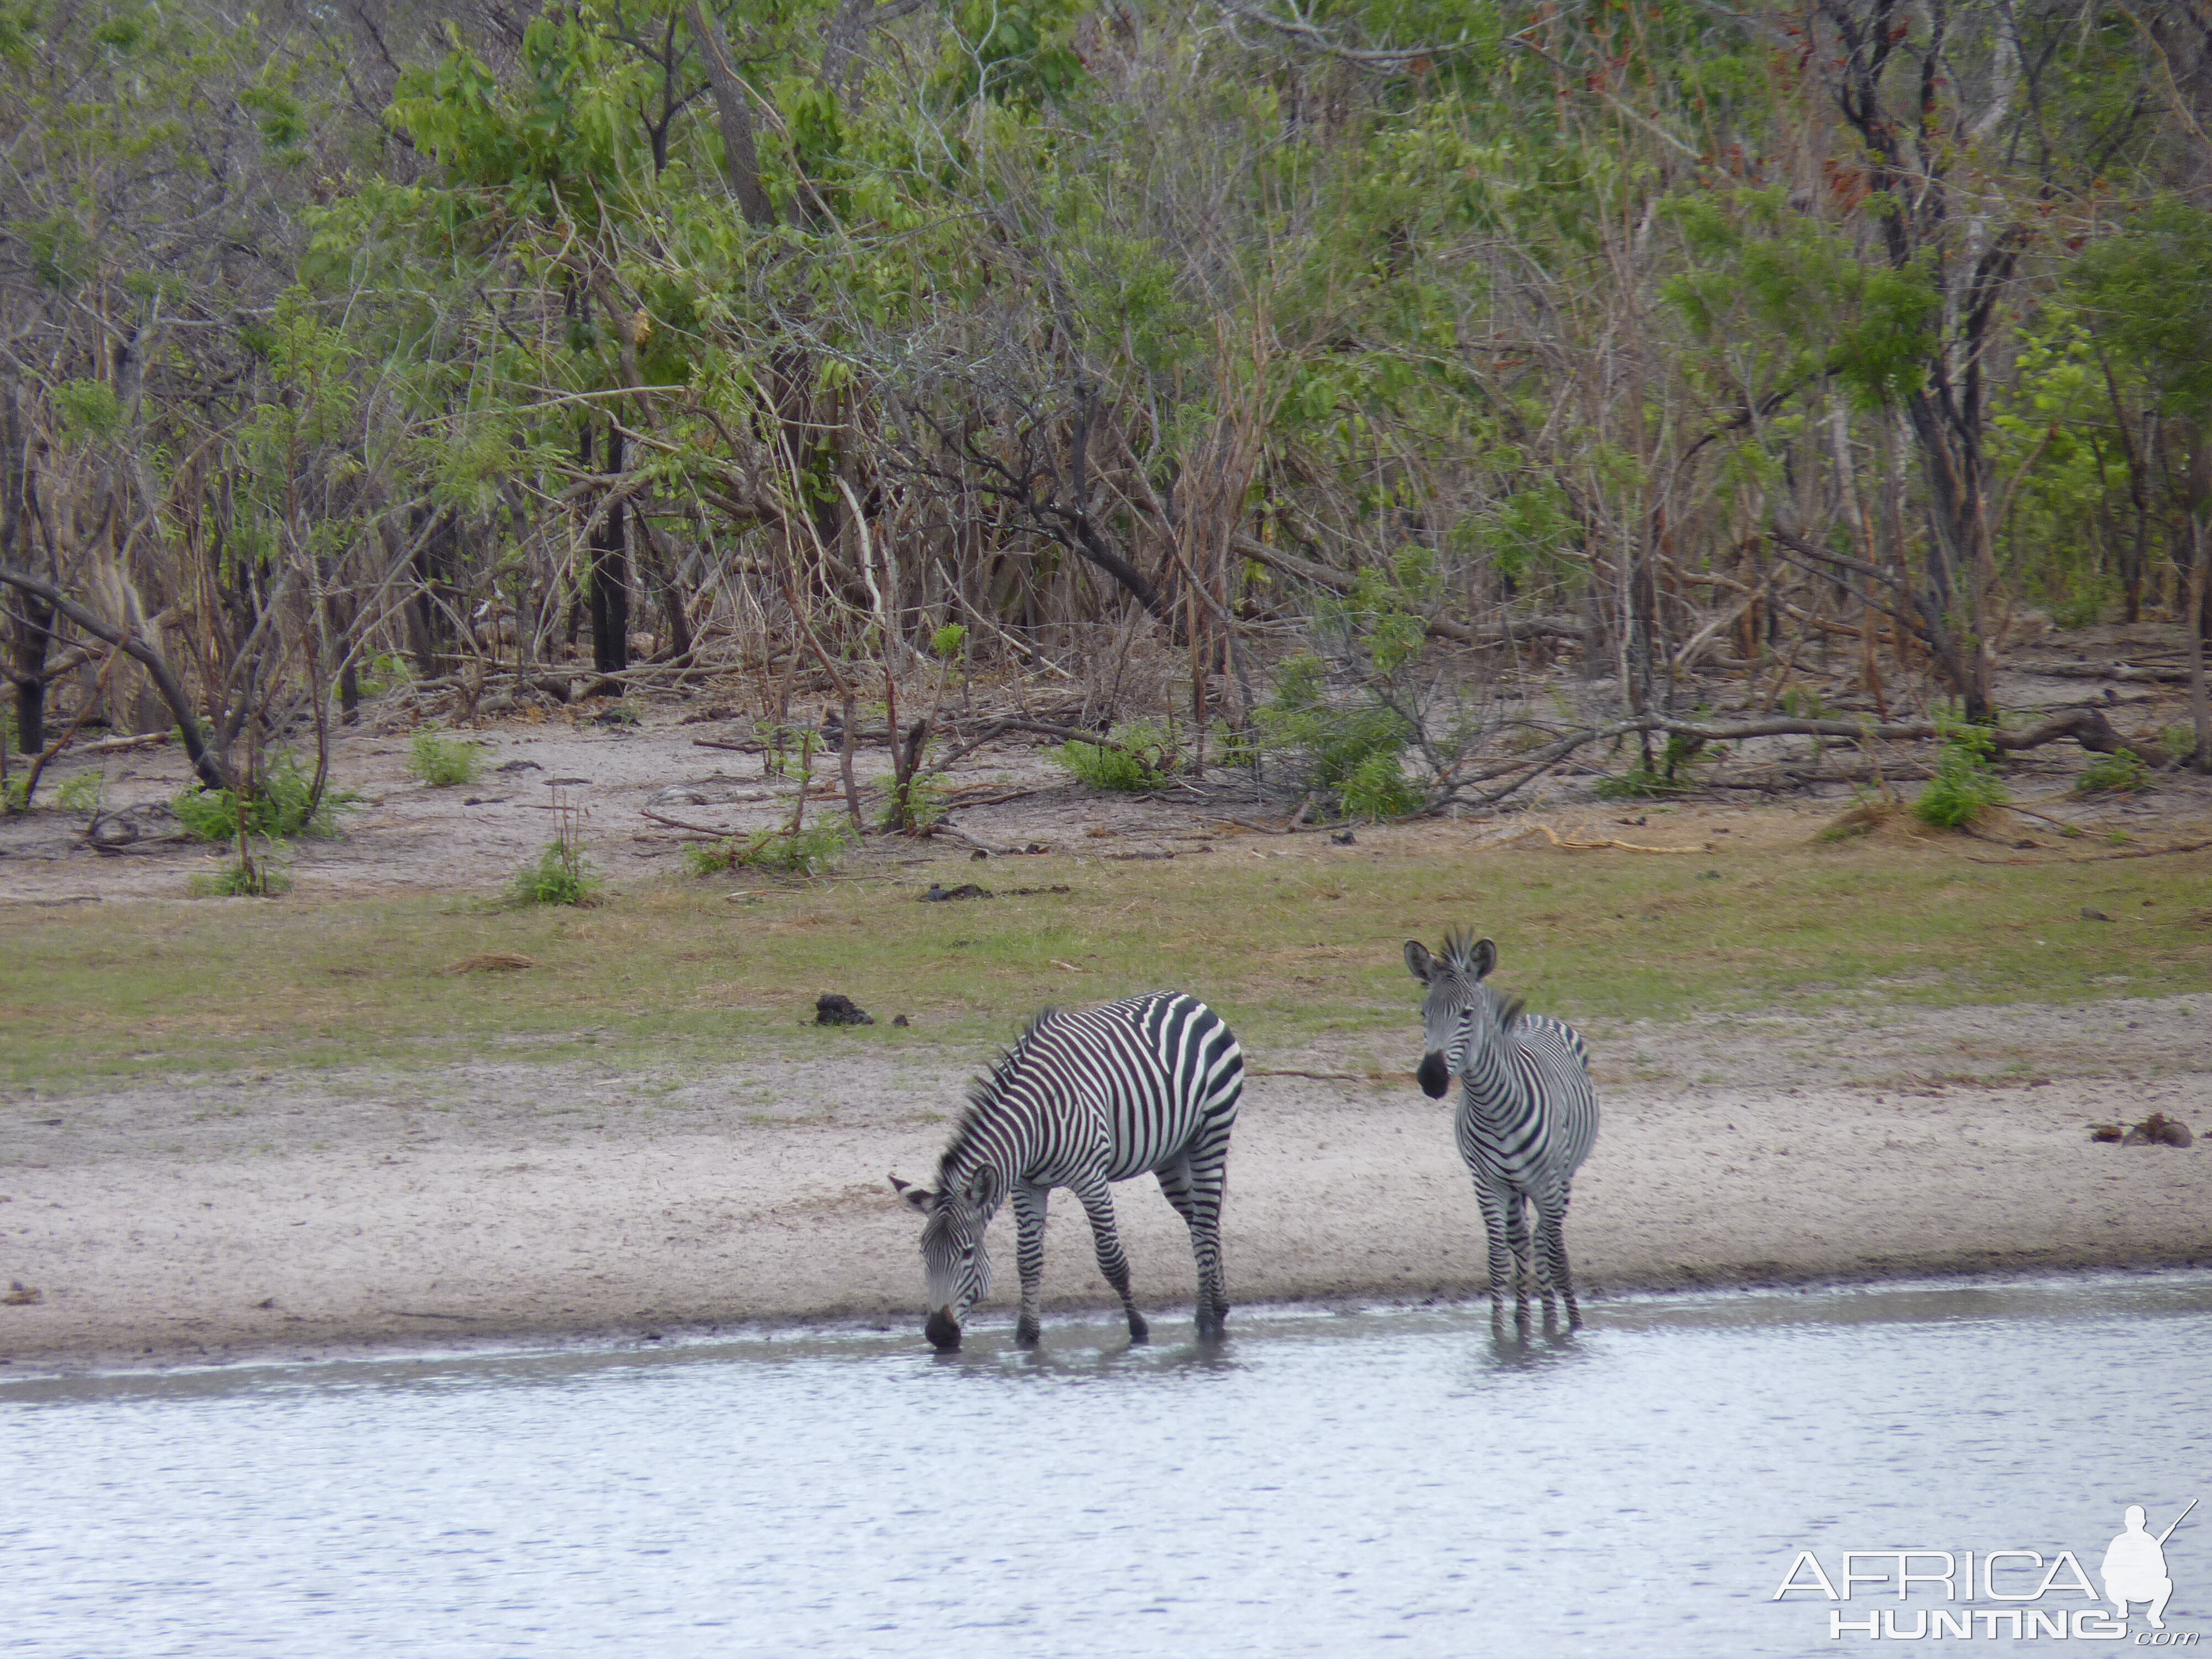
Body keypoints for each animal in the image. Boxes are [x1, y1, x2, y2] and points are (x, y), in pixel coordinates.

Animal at [894, 987, 1248, 1354]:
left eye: (967, 1254)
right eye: (923, 1253)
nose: (939, 1334)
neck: (1035, 1121)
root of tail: (1188, 997)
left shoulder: (1092, 1180)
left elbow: (1112, 1261)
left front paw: (1138, 1330)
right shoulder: (1026, 1186)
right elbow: (1027, 1261)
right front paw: (1027, 1336)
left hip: (1212, 1131)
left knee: (1204, 1224)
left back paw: (1205, 1320)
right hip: (1172, 1155)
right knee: (1201, 1219)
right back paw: (1219, 1307)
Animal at [1407, 938, 1601, 1336]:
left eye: (1467, 1013)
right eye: (1423, 1013)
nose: (1431, 1078)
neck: (1492, 1107)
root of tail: (1535, 1017)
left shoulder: (1548, 1180)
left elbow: (1556, 1251)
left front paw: (1570, 1327)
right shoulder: (1487, 1184)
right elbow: (1498, 1257)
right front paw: (1500, 1333)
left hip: (1561, 1178)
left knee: (1544, 1240)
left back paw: (1551, 1319)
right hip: (1515, 1188)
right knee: (1524, 1241)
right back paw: (1527, 1317)